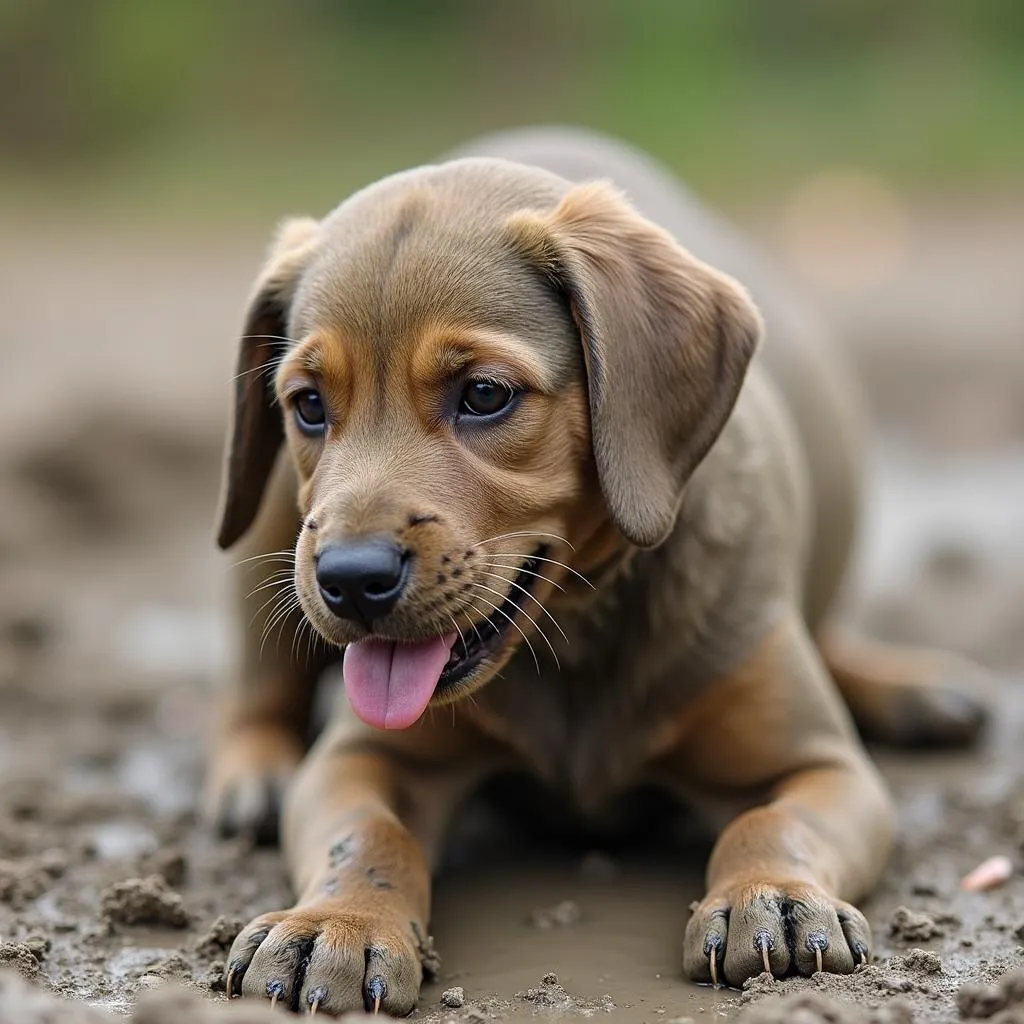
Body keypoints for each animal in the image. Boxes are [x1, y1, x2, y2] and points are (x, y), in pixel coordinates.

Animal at [205, 128, 983, 1015]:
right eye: (307, 406)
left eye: (484, 394)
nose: (351, 579)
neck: (577, 631)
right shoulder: (364, 760)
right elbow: (366, 834)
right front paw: (333, 921)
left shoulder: (824, 769)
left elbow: (773, 822)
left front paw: (775, 895)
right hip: (266, 526)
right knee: (257, 695)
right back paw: (255, 778)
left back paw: (913, 690)